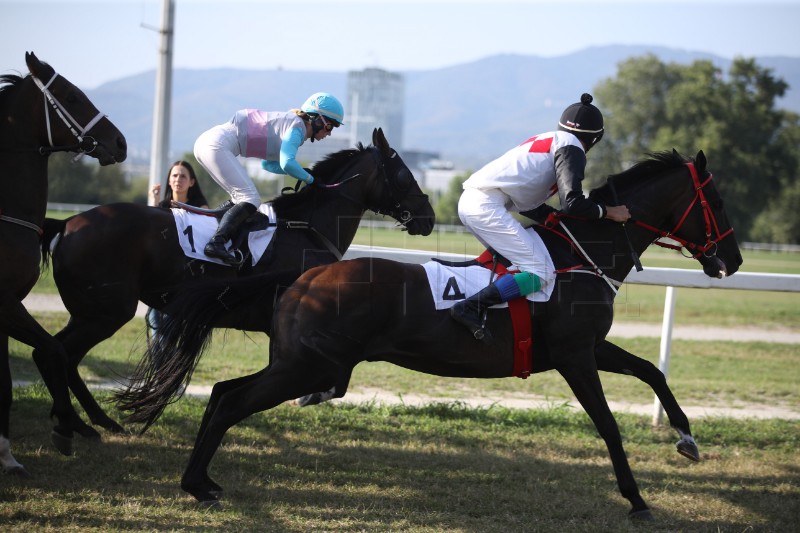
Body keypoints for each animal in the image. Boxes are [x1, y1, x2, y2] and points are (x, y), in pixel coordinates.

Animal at [0, 51, 126, 474]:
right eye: (71, 96)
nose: (119, 141)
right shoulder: (6, 303)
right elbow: (49, 352)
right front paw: (66, 423)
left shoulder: (7, 308)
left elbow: (14, 377)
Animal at [39, 128, 432, 432]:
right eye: (403, 174)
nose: (427, 217)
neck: (308, 228)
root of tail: (67, 223)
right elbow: (333, 381)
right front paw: (307, 393)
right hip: (106, 312)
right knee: (60, 354)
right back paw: (83, 422)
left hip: (89, 312)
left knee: (61, 354)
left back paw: (94, 421)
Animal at [119, 148, 744, 516]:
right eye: (715, 199)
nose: (733, 261)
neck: (579, 256)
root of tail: (303, 275)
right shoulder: (573, 355)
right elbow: (609, 425)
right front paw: (636, 497)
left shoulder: (588, 347)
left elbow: (651, 370)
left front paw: (686, 438)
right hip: (305, 364)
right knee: (230, 401)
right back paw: (196, 482)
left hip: (301, 362)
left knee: (224, 394)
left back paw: (201, 480)